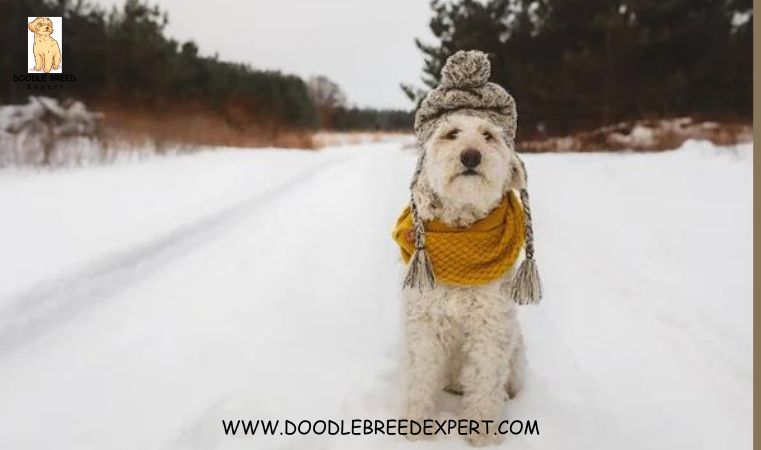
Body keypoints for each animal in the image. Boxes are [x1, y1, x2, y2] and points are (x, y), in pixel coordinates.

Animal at [400, 113, 524, 446]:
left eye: (488, 135)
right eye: (452, 132)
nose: (471, 156)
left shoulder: (490, 323)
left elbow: (485, 378)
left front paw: (483, 433)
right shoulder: (424, 320)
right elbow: (420, 375)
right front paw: (416, 427)